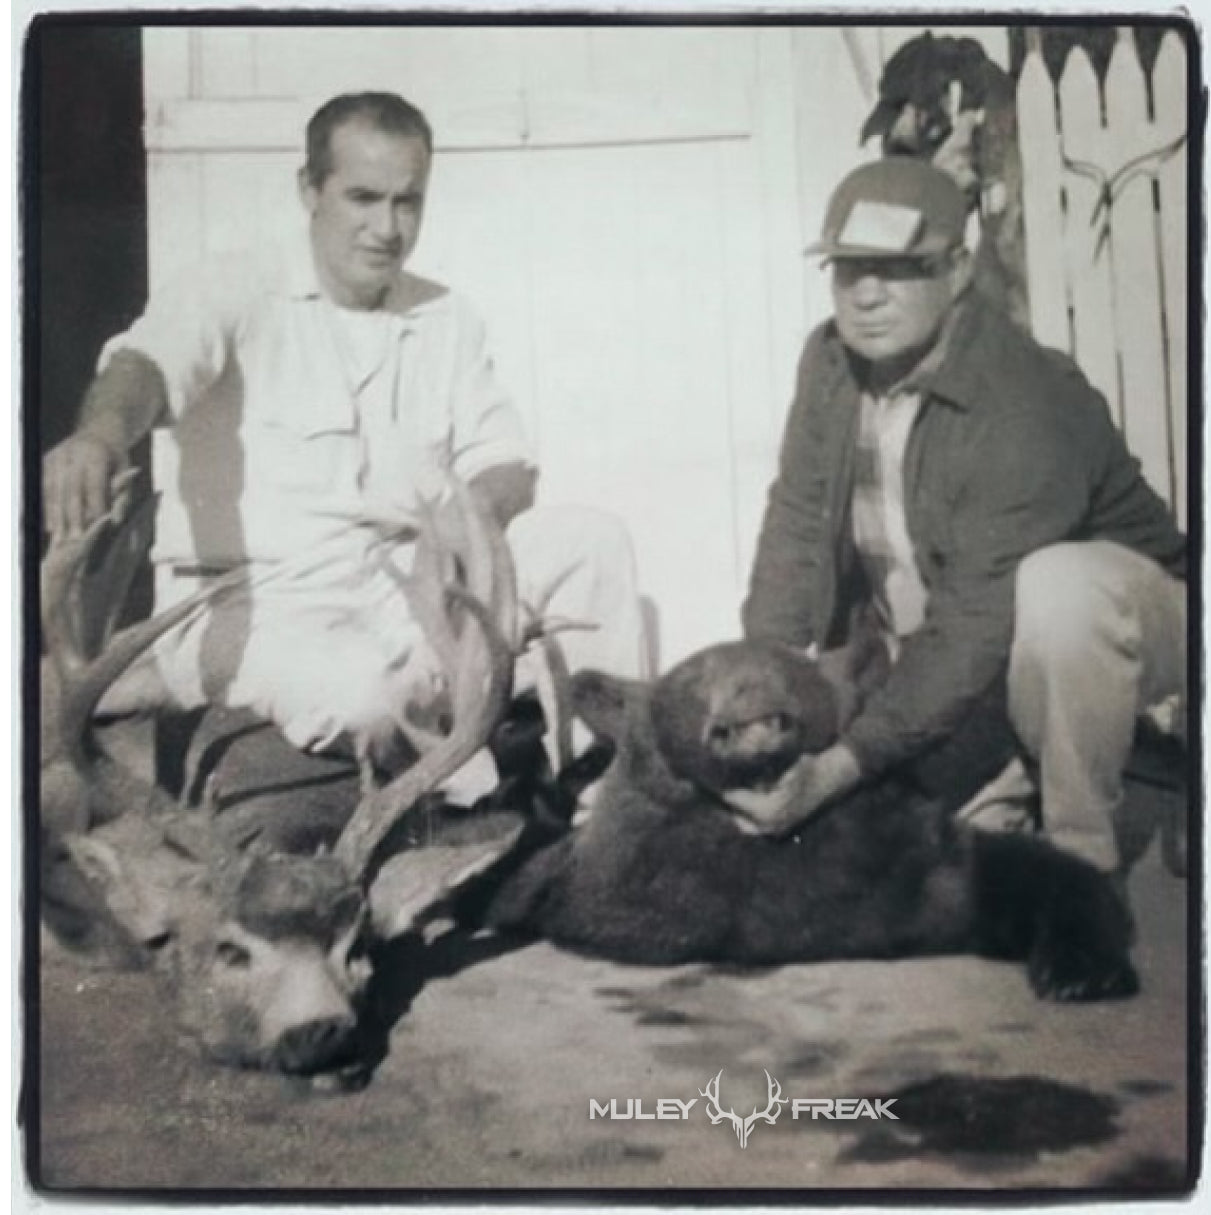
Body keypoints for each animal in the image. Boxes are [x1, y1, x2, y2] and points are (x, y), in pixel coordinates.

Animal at [476, 641, 1141, 1001]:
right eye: (696, 680)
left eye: (784, 666)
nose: (751, 710)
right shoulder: (620, 875)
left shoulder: (914, 859)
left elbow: (1040, 872)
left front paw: (1078, 971)